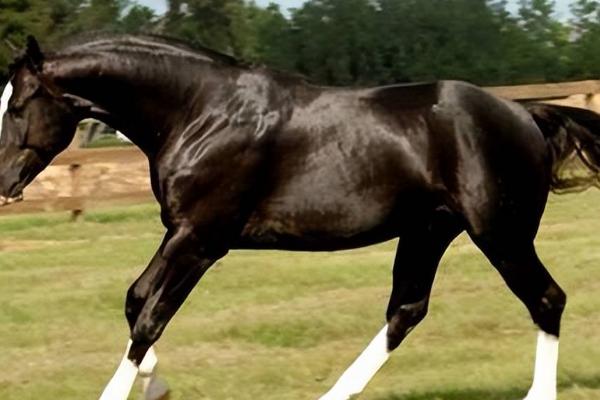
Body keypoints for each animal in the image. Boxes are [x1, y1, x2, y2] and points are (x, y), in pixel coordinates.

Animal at [1, 35, 600, 400]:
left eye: (17, 105)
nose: (3, 183)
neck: (200, 112)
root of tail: (525, 113)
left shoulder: (200, 238)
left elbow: (150, 315)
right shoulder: (182, 234)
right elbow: (135, 301)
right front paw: (158, 385)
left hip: (500, 233)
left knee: (546, 300)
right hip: (429, 231)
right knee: (406, 311)